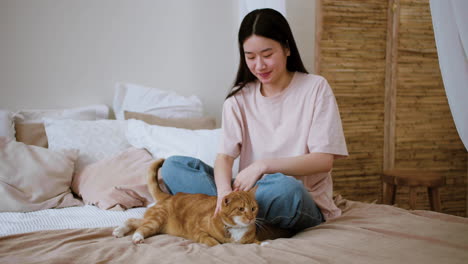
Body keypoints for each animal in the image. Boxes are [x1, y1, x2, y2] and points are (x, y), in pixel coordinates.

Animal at [112, 159, 262, 248]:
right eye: (241, 209)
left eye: (253, 208)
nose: (251, 218)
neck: (236, 230)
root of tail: (170, 195)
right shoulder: (197, 231)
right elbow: (214, 243)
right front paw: (219, 245)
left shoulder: (250, 240)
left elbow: (256, 243)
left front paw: (263, 244)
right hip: (157, 221)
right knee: (140, 226)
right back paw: (135, 237)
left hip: (159, 225)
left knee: (133, 220)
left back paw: (118, 231)